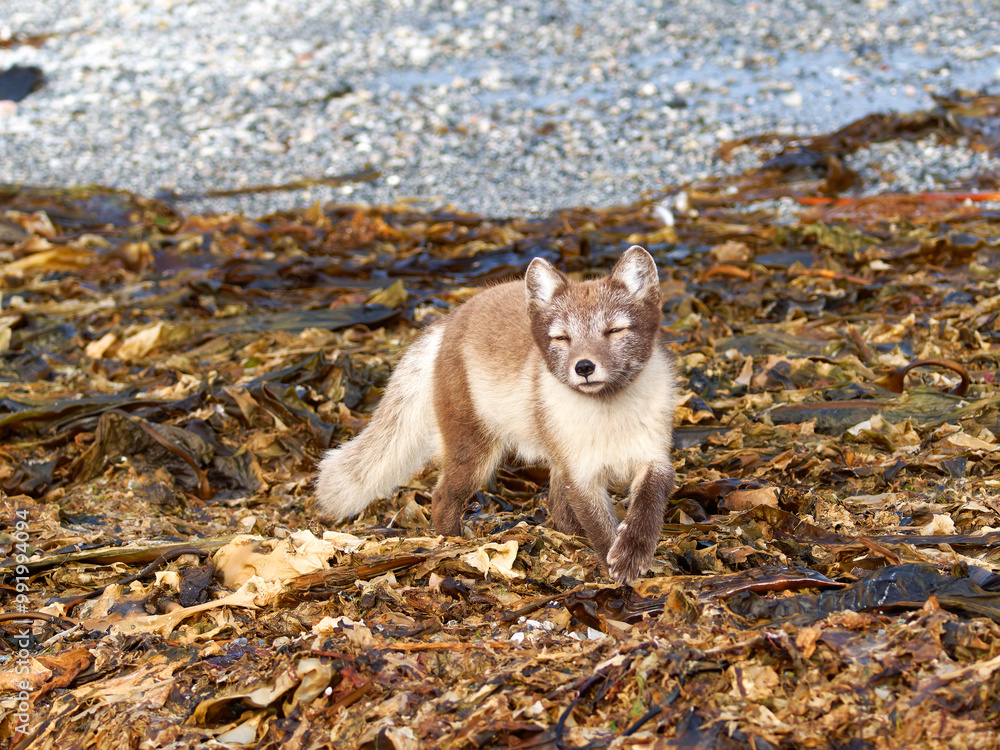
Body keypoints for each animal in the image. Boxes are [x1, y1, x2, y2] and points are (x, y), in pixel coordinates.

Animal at [314, 245, 677, 584]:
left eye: (614, 331)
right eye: (562, 338)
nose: (584, 367)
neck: (610, 419)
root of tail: (451, 319)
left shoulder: (654, 457)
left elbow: (648, 506)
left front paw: (631, 552)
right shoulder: (582, 475)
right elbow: (600, 527)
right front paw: (614, 567)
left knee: (556, 505)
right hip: (474, 454)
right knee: (441, 498)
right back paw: (453, 544)